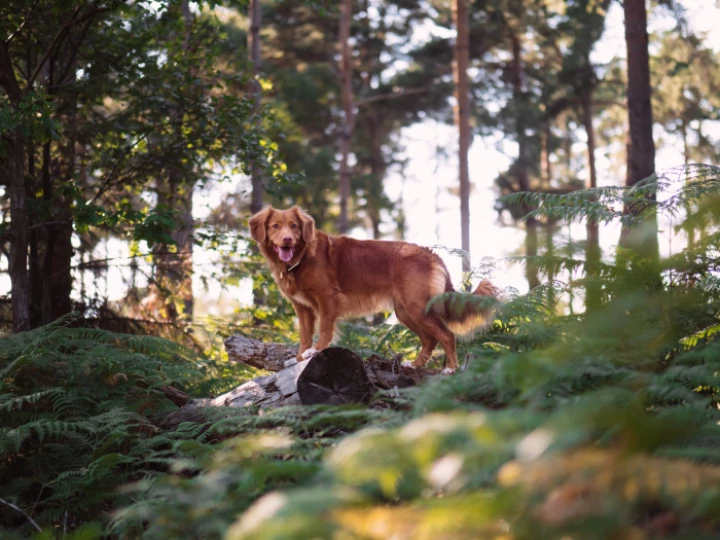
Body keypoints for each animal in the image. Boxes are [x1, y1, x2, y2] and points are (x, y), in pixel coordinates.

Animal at [250, 205, 498, 374]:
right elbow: (304, 335)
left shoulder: (327, 298)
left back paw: (451, 369)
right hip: (405, 312)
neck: (300, 258)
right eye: (275, 226)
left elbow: (325, 329)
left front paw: (316, 350)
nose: (287, 240)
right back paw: (415, 365)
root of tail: (431, 253)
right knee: (430, 340)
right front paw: (300, 357)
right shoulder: (302, 307)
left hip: (417, 306)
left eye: (294, 226)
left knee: (446, 335)